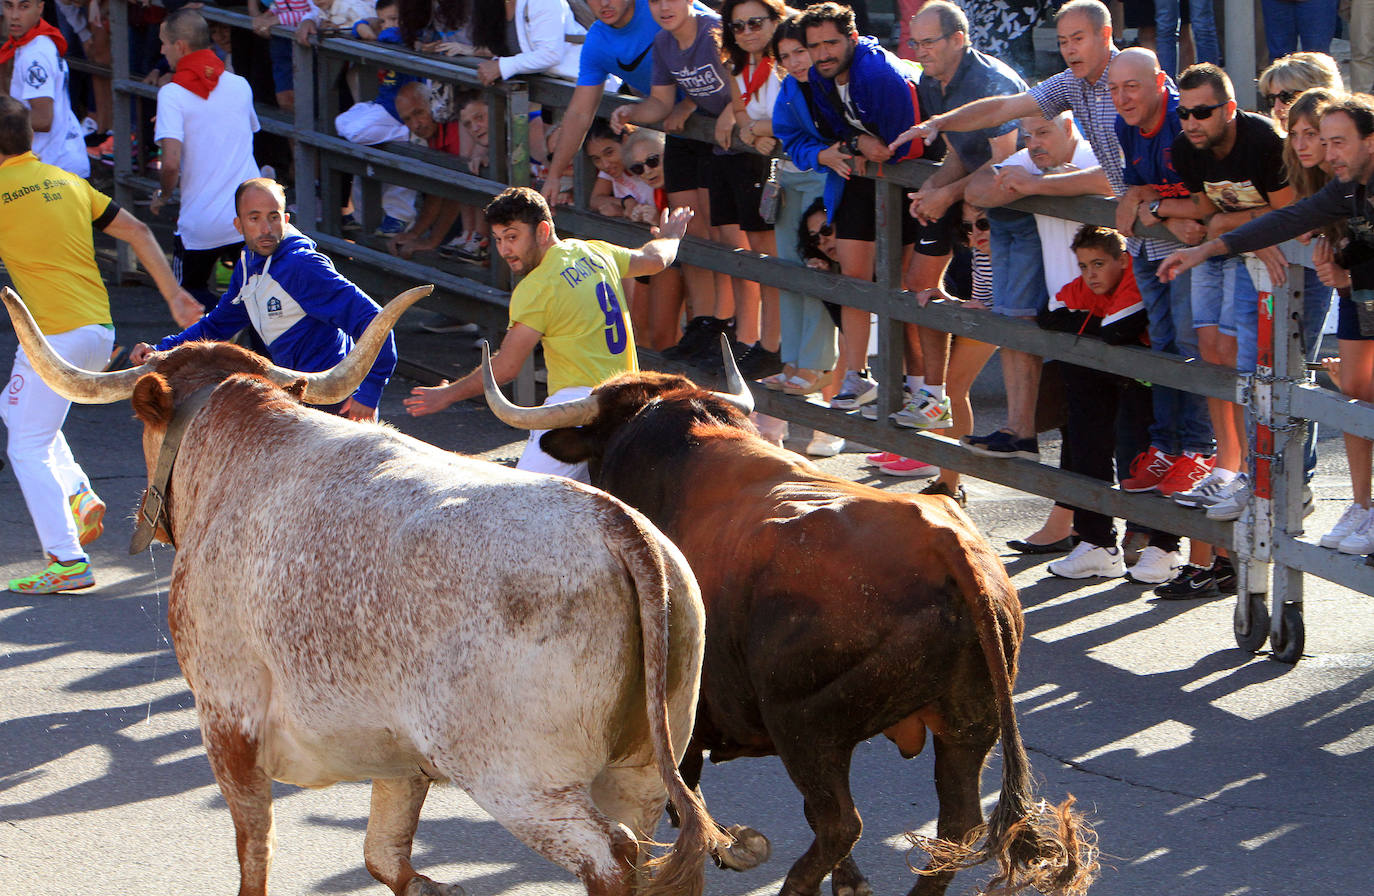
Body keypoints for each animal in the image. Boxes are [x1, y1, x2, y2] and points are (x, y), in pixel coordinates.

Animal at [483, 344, 1093, 896]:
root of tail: (943, 540)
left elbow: (687, 793)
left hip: (806, 725)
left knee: (840, 823)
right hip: (965, 727)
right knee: (953, 827)